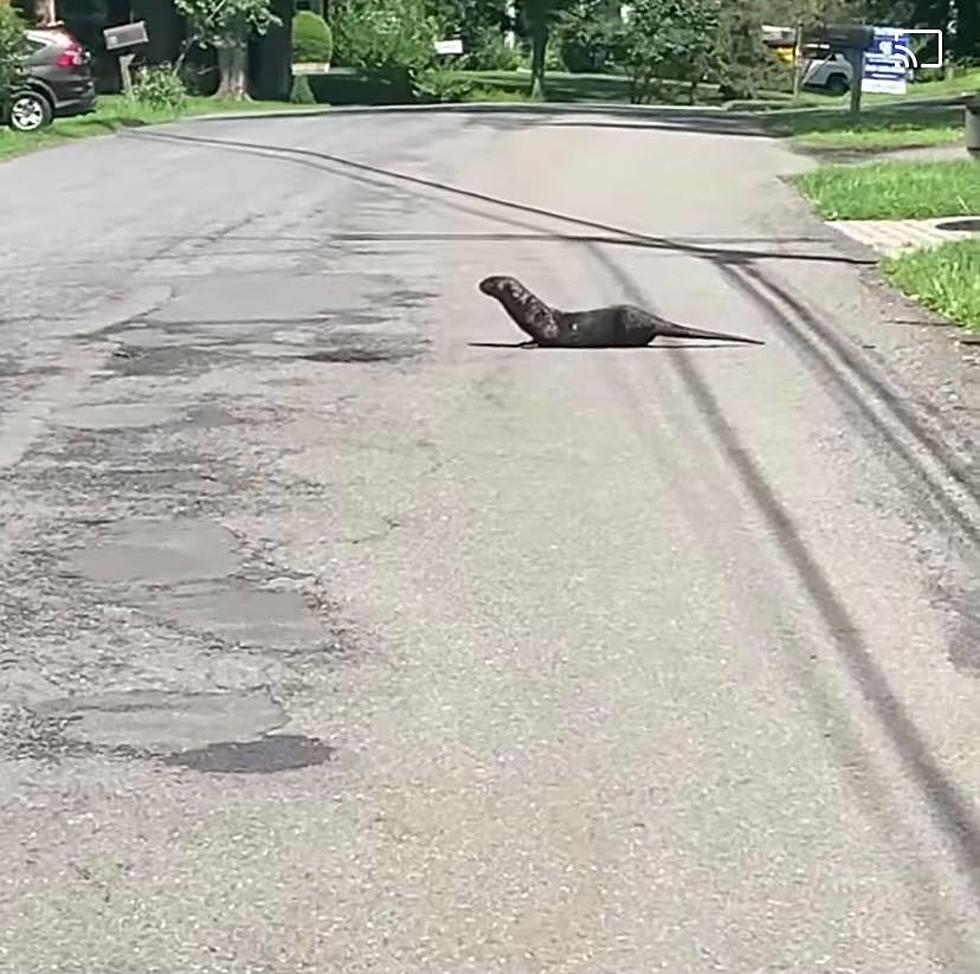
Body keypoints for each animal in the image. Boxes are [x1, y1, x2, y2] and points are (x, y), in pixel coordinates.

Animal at [476, 276, 764, 348]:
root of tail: (651, 319)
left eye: (491, 281)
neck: (530, 310)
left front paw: (528, 344)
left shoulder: (545, 326)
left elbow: (544, 338)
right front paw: (523, 341)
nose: (479, 283)